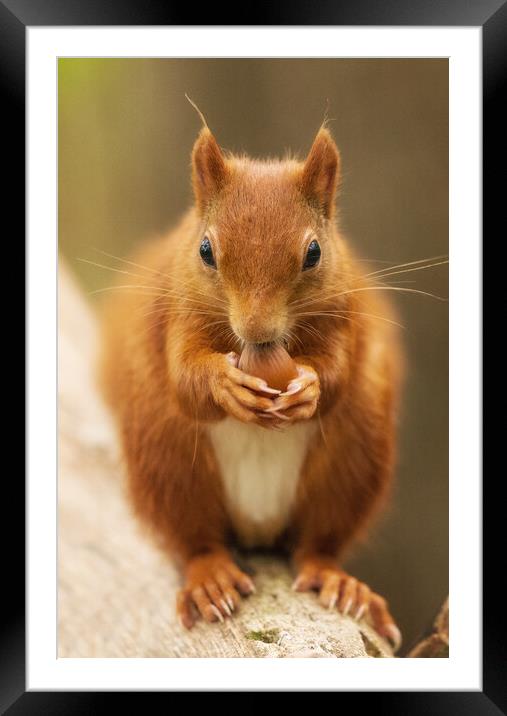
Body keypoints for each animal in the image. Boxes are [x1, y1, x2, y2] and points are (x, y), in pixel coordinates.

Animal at [99, 113, 404, 648]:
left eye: (314, 252)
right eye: (205, 250)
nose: (257, 331)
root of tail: (258, 526)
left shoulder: (343, 313)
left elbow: (338, 372)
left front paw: (310, 387)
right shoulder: (177, 311)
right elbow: (185, 378)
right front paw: (224, 386)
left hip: (353, 457)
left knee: (316, 545)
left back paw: (338, 581)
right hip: (167, 456)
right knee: (196, 541)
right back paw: (211, 578)